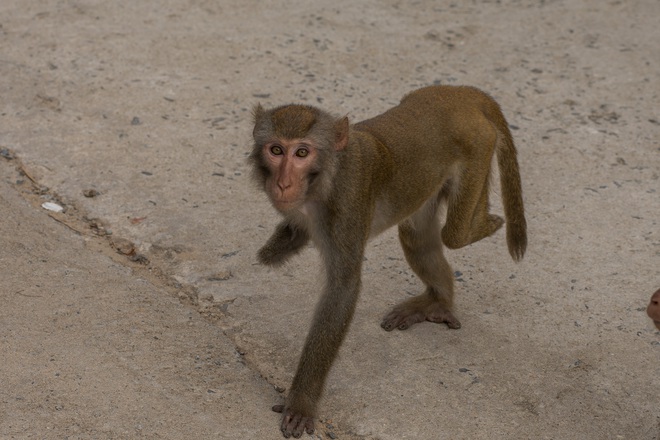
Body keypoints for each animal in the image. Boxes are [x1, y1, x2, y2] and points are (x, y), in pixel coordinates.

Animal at [248, 85, 524, 436]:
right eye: (276, 150)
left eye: (301, 153)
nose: (283, 183)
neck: (326, 177)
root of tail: (459, 93)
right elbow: (296, 233)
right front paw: (273, 251)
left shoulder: (348, 205)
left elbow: (342, 289)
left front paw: (301, 402)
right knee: (417, 234)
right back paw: (437, 302)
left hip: (479, 146)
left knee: (455, 234)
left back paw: (487, 222)